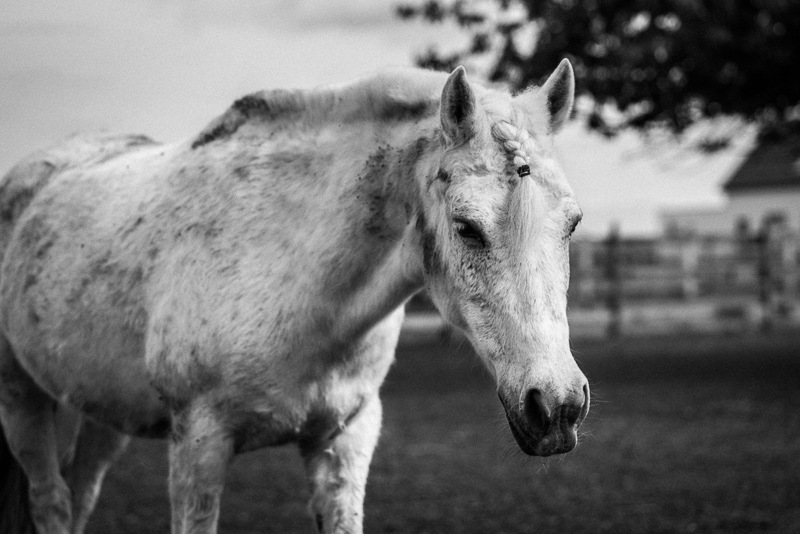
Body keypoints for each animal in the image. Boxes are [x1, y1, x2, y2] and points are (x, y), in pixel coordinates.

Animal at [0, 59, 589, 534]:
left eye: (573, 224)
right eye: (467, 227)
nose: (557, 406)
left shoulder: (344, 439)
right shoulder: (198, 444)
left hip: (103, 410)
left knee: (78, 495)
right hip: (21, 397)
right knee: (52, 502)